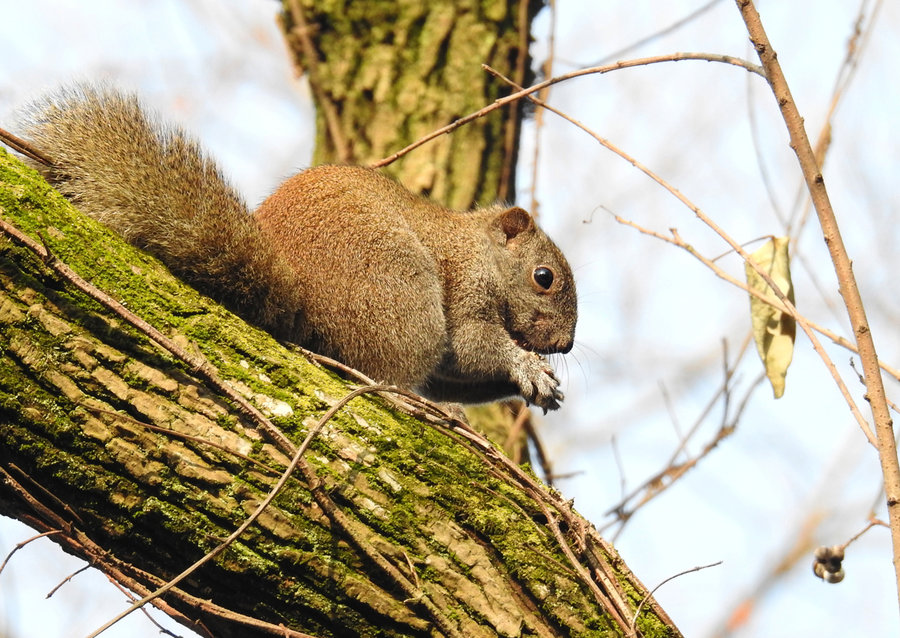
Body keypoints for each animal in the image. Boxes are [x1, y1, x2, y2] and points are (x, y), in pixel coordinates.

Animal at [8, 85, 576, 412]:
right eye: (543, 277)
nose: (566, 345)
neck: (479, 247)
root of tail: (303, 305)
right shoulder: (464, 286)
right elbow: (472, 345)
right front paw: (527, 366)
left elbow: (457, 371)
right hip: (400, 291)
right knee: (386, 371)